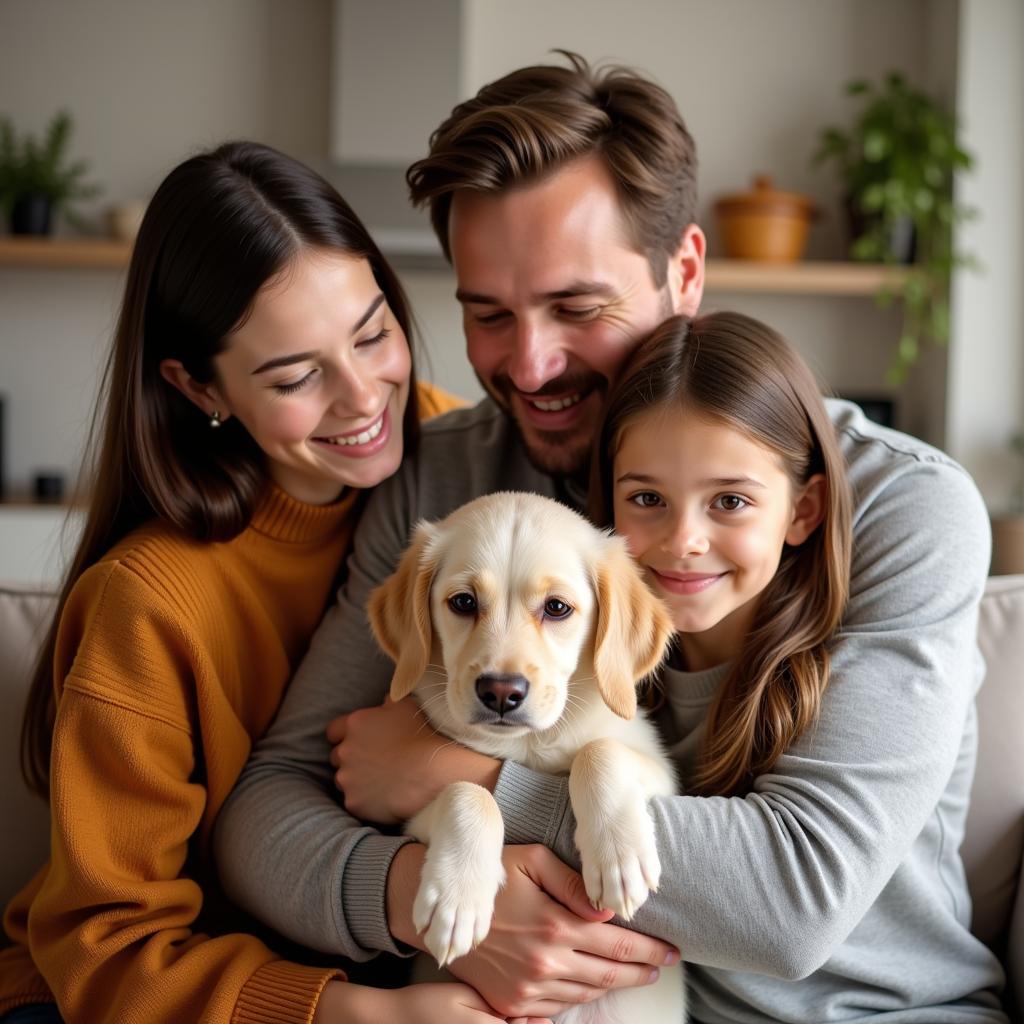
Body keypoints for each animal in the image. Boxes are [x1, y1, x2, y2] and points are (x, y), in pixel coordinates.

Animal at [368, 491, 688, 1019]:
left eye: (556, 608)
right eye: (463, 602)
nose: (501, 691)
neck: (528, 747)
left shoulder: (664, 774)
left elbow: (600, 751)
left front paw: (619, 858)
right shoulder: (411, 821)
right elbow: (469, 791)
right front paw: (457, 898)